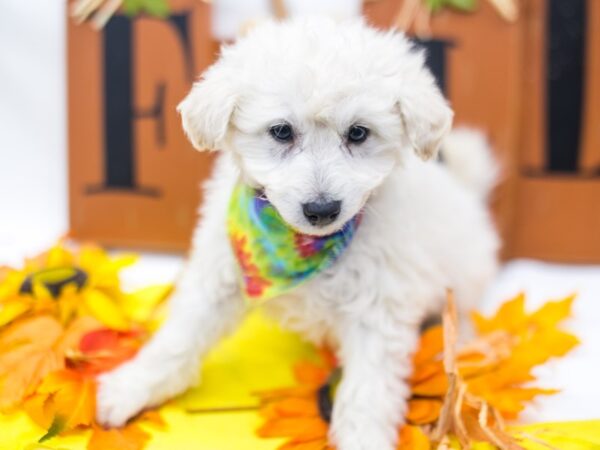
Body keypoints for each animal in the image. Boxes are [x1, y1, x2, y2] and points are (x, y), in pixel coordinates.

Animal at [98, 17, 500, 450]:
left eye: (358, 133)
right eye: (281, 131)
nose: (322, 209)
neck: (300, 246)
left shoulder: (378, 310)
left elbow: (367, 393)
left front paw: (363, 438)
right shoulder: (222, 273)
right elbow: (181, 335)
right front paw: (131, 387)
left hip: (465, 270)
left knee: (461, 308)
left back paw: (459, 344)